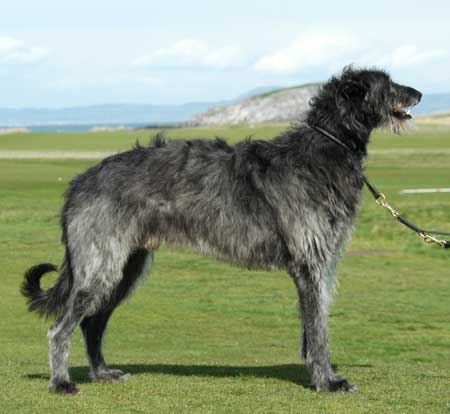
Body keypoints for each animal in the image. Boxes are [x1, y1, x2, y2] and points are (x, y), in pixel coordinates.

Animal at [21, 66, 422, 392]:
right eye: (387, 84)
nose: (418, 93)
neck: (325, 148)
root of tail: (79, 183)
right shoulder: (310, 263)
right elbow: (319, 327)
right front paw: (328, 381)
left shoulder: (321, 262)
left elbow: (313, 325)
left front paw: (317, 373)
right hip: (101, 263)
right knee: (61, 328)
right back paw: (61, 383)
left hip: (126, 266)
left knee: (92, 324)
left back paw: (102, 373)